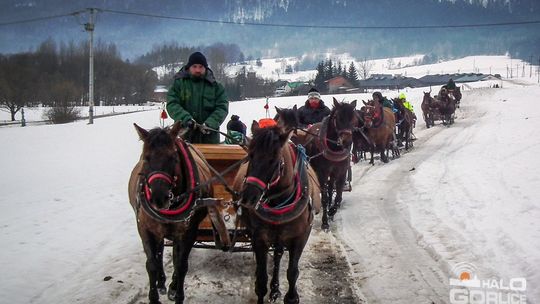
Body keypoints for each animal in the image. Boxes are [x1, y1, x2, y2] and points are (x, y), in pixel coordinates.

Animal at [127, 122, 212, 304]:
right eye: (146, 158)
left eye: (173, 157)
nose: (159, 198)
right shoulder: (145, 229)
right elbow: (151, 263)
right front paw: (154, 297)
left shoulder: (187, 232)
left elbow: (181, 265)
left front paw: (178, 294)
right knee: (159, 252)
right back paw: (161, 282)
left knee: (174, 255)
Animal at [232, 122, 320, 302]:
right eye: (250, 155)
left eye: (274, 160)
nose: (248, 198)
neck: (278, 202)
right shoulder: (259, 238)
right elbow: (261, 279)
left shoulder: (300, 237)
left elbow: (292, 272)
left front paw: (291, 297)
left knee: (278, 256)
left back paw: (275, 288)